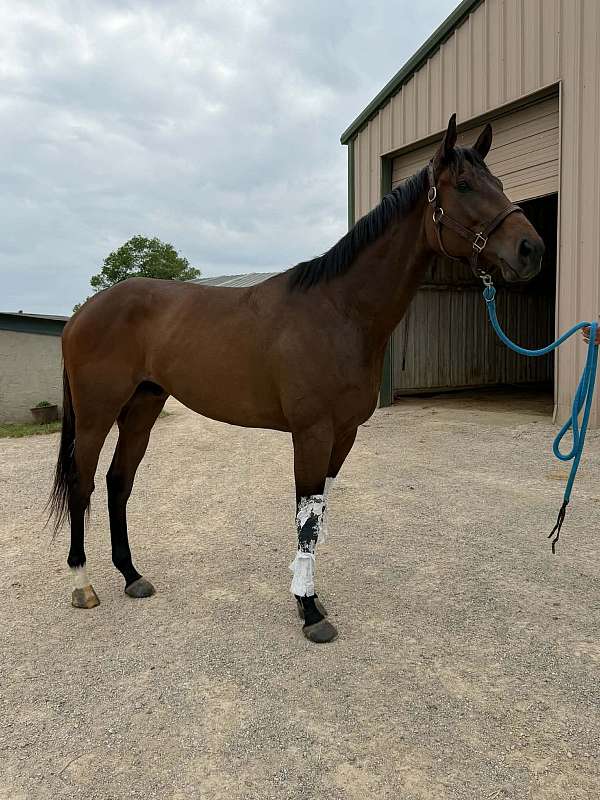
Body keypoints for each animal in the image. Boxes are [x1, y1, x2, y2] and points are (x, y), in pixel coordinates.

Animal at [49, 114, 544, 643]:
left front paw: (307, 592)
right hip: (98, 413)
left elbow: (318, 515)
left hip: (143, 407)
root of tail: (82, 313)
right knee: (82, 483)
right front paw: (310, 612)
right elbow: (305, 519)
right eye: (465, 185)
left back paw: (131, 575)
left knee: (118, 482)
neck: (340, 311)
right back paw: (82, 584)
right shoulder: (312, 433)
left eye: (499, 182)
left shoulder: (342, 436)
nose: (532, 250)